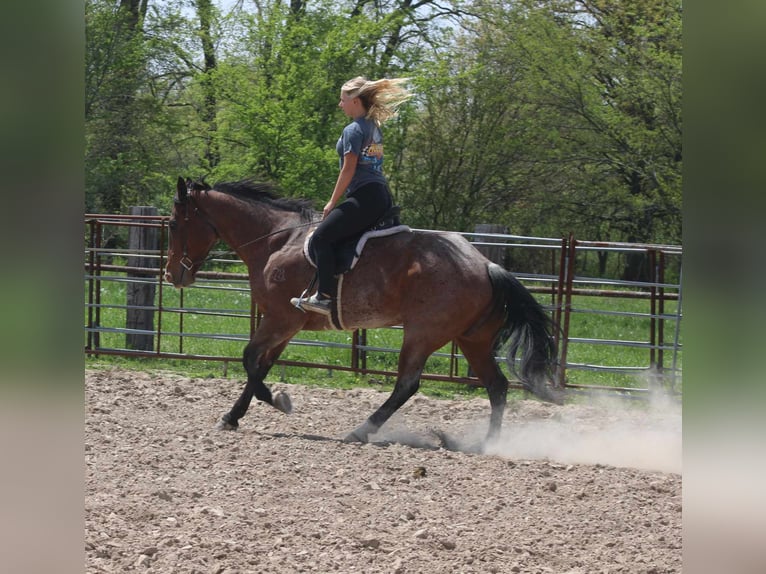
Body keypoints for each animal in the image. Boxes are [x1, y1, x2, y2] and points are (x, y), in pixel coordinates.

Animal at [165, 180, 560, 450]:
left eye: (172, 224)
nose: (171, 275)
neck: (276, 241)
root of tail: (486, 264)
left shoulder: (281, 320)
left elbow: (249, 359)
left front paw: (279, 401)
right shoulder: (285, 326)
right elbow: (259, 366)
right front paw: (233, 416)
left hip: (422, 334)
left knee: (407, 385)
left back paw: (361, 430)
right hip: (471, 340)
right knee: (497, 386)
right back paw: (486, 443)